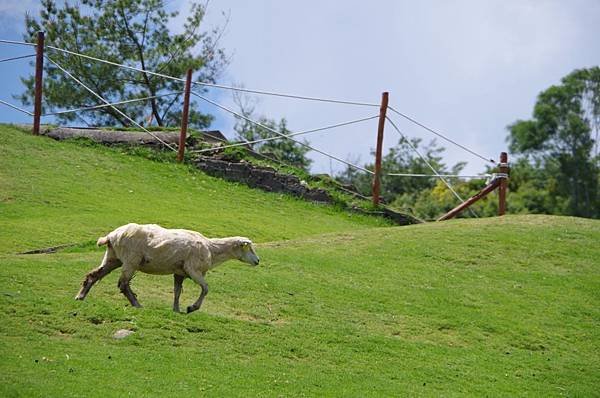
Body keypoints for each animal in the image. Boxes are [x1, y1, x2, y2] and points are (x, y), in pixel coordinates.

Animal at [74, 222, 258, 312]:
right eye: (249, 247)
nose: (258, 261)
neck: (213, 250)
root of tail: (112, 235)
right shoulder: (193, 270)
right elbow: (206, 288)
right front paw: (192, 308)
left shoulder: (180, 273)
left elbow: (177, 291)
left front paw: (176, 309)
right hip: (131, 260)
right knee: (123, 284)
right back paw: (137, 304)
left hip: (113, 257)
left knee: (93, 275)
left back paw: (80, 296)